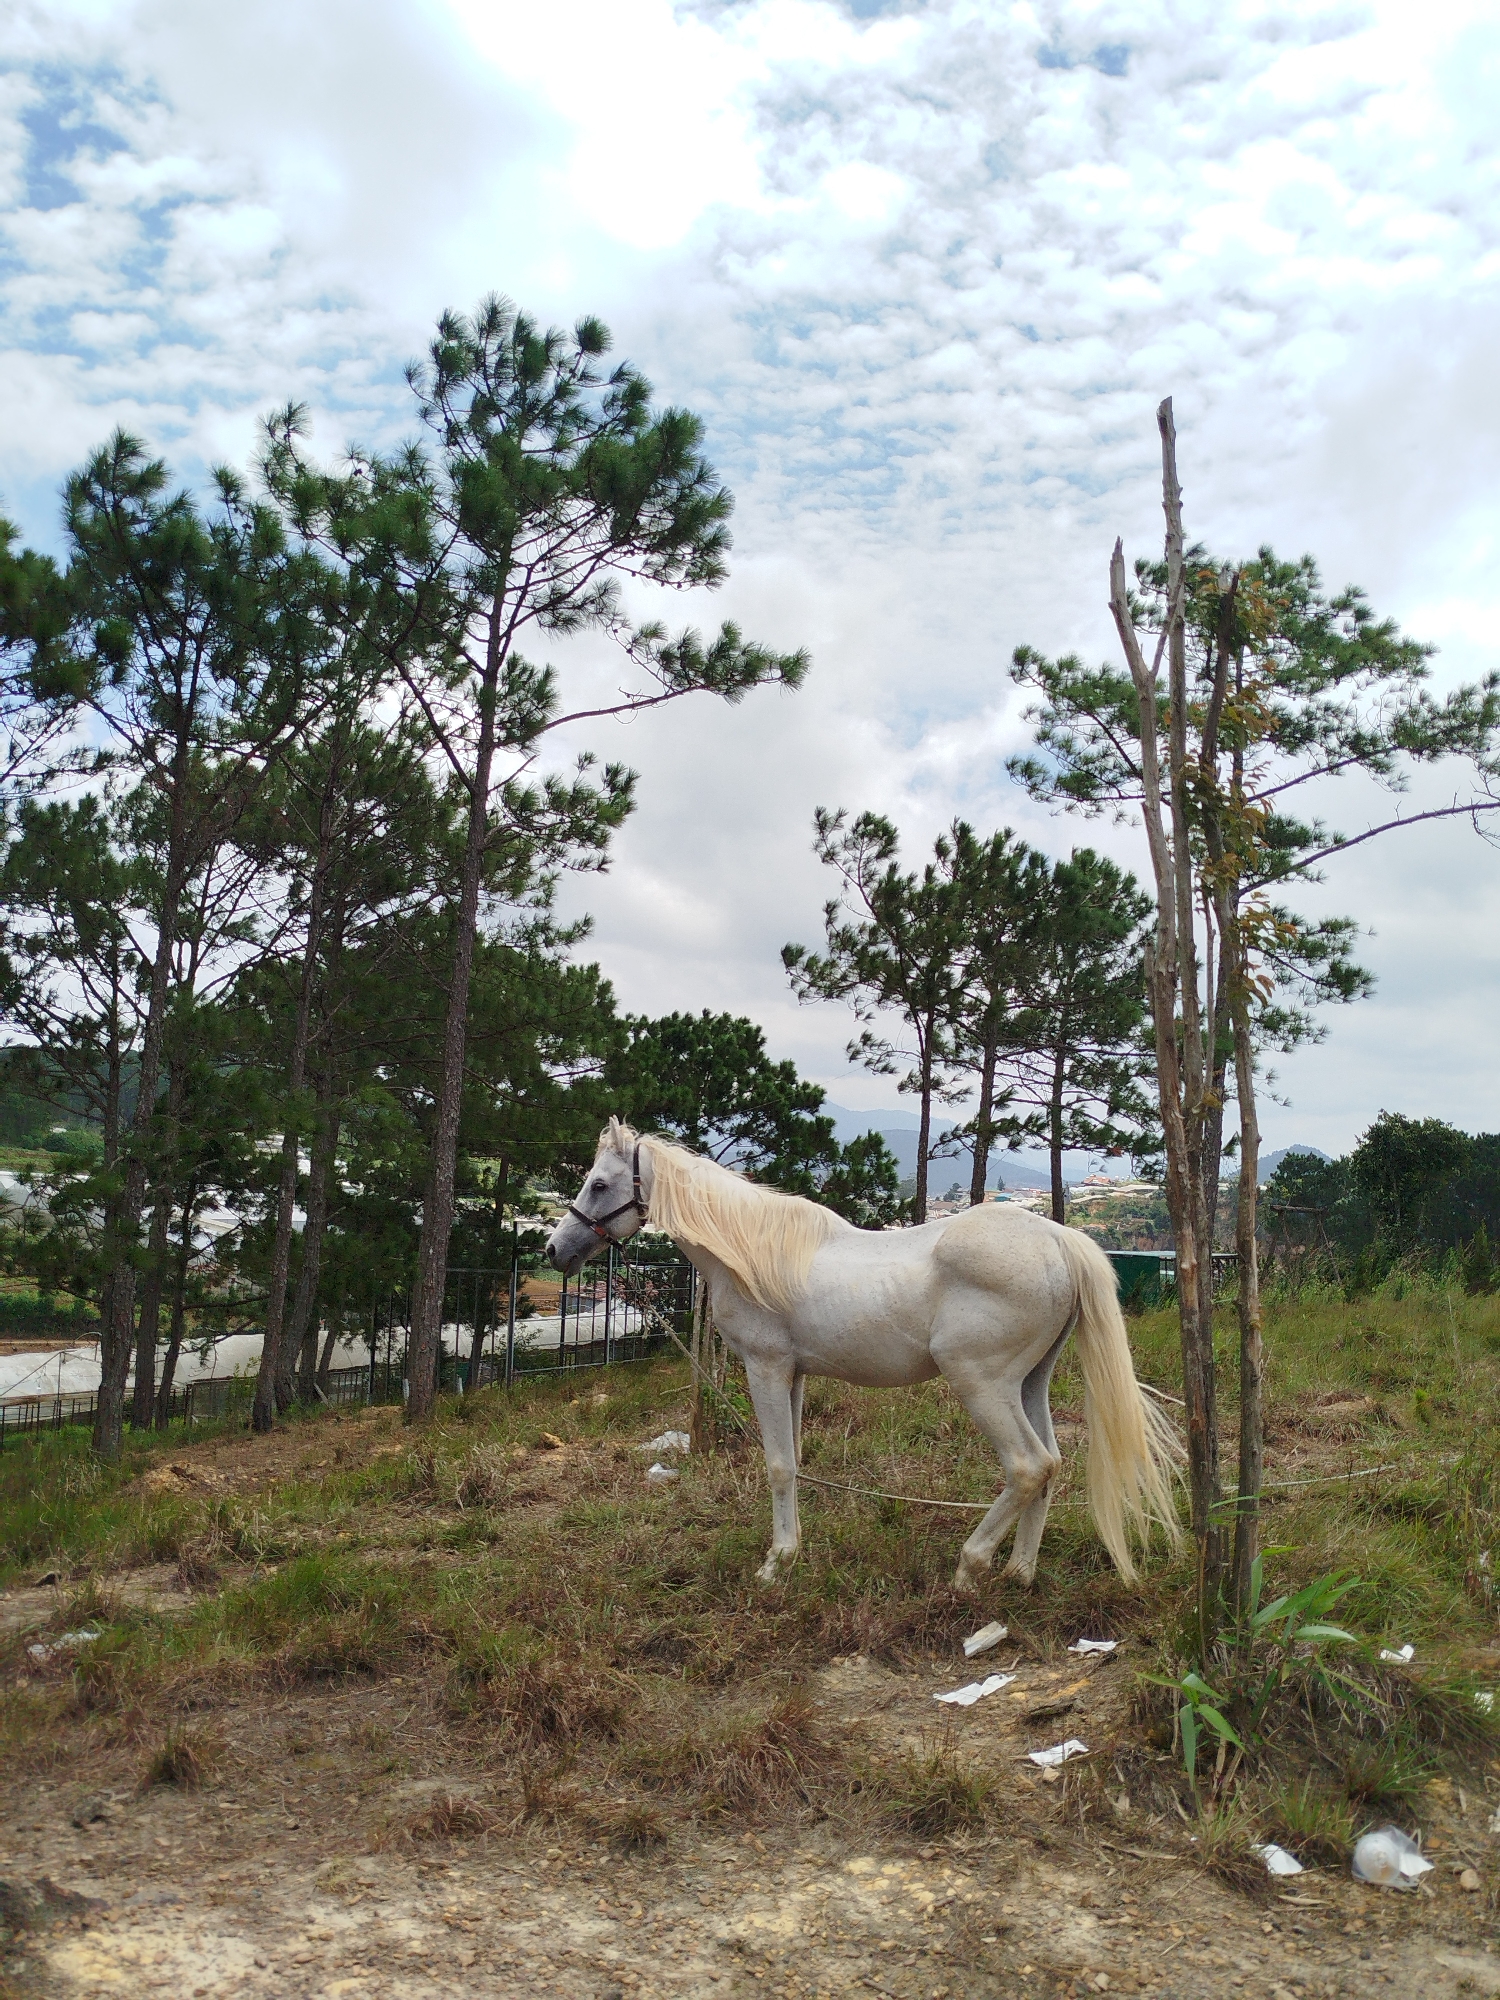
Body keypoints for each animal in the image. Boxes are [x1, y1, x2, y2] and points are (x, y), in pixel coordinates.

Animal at [547, 1120, 1181, 1590]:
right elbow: (794, 1459)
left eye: (598, 1184)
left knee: (1028, 1466)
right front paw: (792, 1551)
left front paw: (775, 1564)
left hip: (980, 1384)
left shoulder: (765, 1369)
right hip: (1029, 1385)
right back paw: (1020, 1572)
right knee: (1051, 1465)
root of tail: (1058, 1239)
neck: (752, 1253)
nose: (555, 1250)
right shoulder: (794, 1375)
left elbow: (778, 1465)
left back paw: (969, 1567)